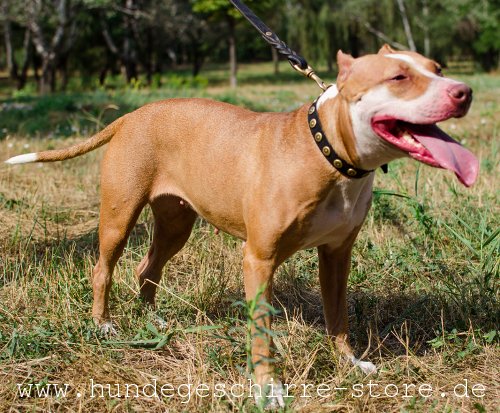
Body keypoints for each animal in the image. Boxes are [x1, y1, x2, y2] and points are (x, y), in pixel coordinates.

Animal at [5, 44, 478, 406]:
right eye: (399, 77)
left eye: (437, 69)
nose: (464, 92)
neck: (330, 154)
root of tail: (132, 115)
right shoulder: (259, 259)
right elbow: (262, 333)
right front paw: (269, 390)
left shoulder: (337, 256)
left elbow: (338, 315)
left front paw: (349, 361)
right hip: (119, 217)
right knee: (103, 268)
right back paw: (104, 325)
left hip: (176, 224)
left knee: (148, 268)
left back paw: (154, 320)